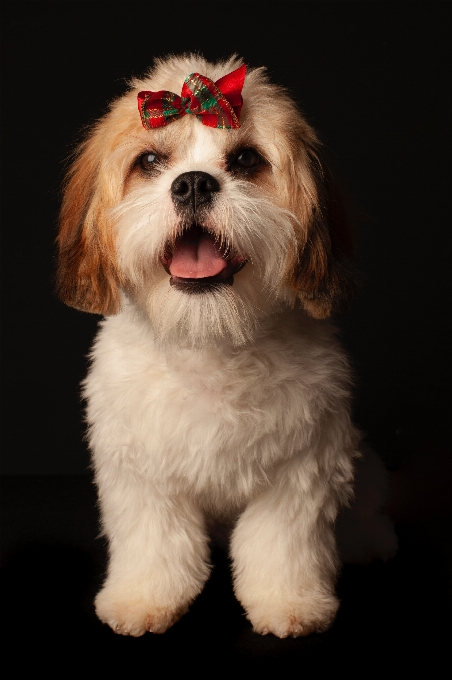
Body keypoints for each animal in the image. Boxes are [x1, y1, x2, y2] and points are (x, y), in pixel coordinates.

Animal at [56, 53, 390, 636]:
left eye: (247, 159)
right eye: (149, 160)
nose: (192, 184)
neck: (209, 339)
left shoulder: (301, 469)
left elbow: (282, 543)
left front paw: (289, 602)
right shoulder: (141, 472)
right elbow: (154, 541)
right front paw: (143, 598)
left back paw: (367, 539)